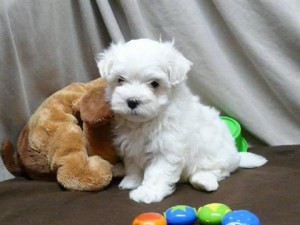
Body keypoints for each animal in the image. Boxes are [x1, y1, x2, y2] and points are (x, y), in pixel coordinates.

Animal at [96, 38, 268, 204]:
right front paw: (131, 181)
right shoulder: (131, 147)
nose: (132, 101)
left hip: (215, 156)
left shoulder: (167, 149)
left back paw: (203, 180)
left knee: (218, 171)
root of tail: (236, 157)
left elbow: (157, 173)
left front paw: (147, 193)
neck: (146, 122)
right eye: (120, 80)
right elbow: (133, 165)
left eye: (154, 84)